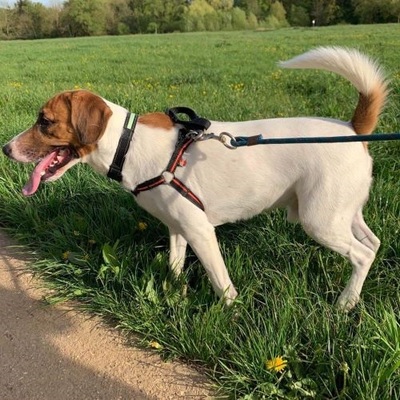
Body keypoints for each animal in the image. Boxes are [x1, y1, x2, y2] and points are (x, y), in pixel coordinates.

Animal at [0, 47, 388, 310]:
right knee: (373, 244)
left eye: (45, 121)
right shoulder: (177, 228)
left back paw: (345, 304)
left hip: (319, 220)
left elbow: (222, 284)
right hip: (342, 213)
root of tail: (352, 128)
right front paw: (176, 296)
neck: (127, 143)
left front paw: (230, 316)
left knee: (360, 255)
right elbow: (174, 268)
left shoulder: (200, 230)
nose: (6, 148)